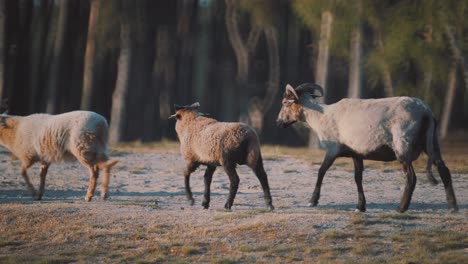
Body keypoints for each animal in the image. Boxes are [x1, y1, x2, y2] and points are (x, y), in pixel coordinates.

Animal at [276, 82, 458, 212]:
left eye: (285, 102)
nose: (278, 122)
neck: (320, 117)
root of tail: (426, 111)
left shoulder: (333, 149)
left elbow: (321, 171)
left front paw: (312, 201)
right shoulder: (356, 153)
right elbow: (358, 177)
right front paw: (360, 206)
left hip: (403, 144)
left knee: (411, 177)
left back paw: (401, 208)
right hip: (432, 142)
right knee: (444, 170)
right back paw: (452, 205)